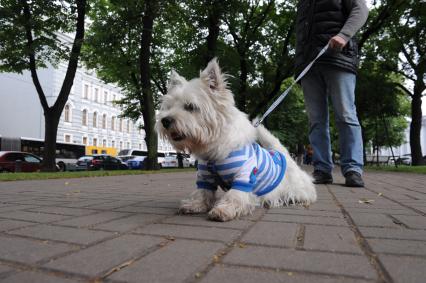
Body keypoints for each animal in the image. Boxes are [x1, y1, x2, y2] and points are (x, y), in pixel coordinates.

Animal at [156, 59, 316, 222]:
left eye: (190, 106)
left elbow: (235, 195)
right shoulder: (205, 177)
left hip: (296, 186)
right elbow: (202, 192)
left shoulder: (244, 176)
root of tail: (283, 155)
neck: (214, 149)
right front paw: (194, 205)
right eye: (169, 107)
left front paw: (223, 210)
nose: (165, 120)